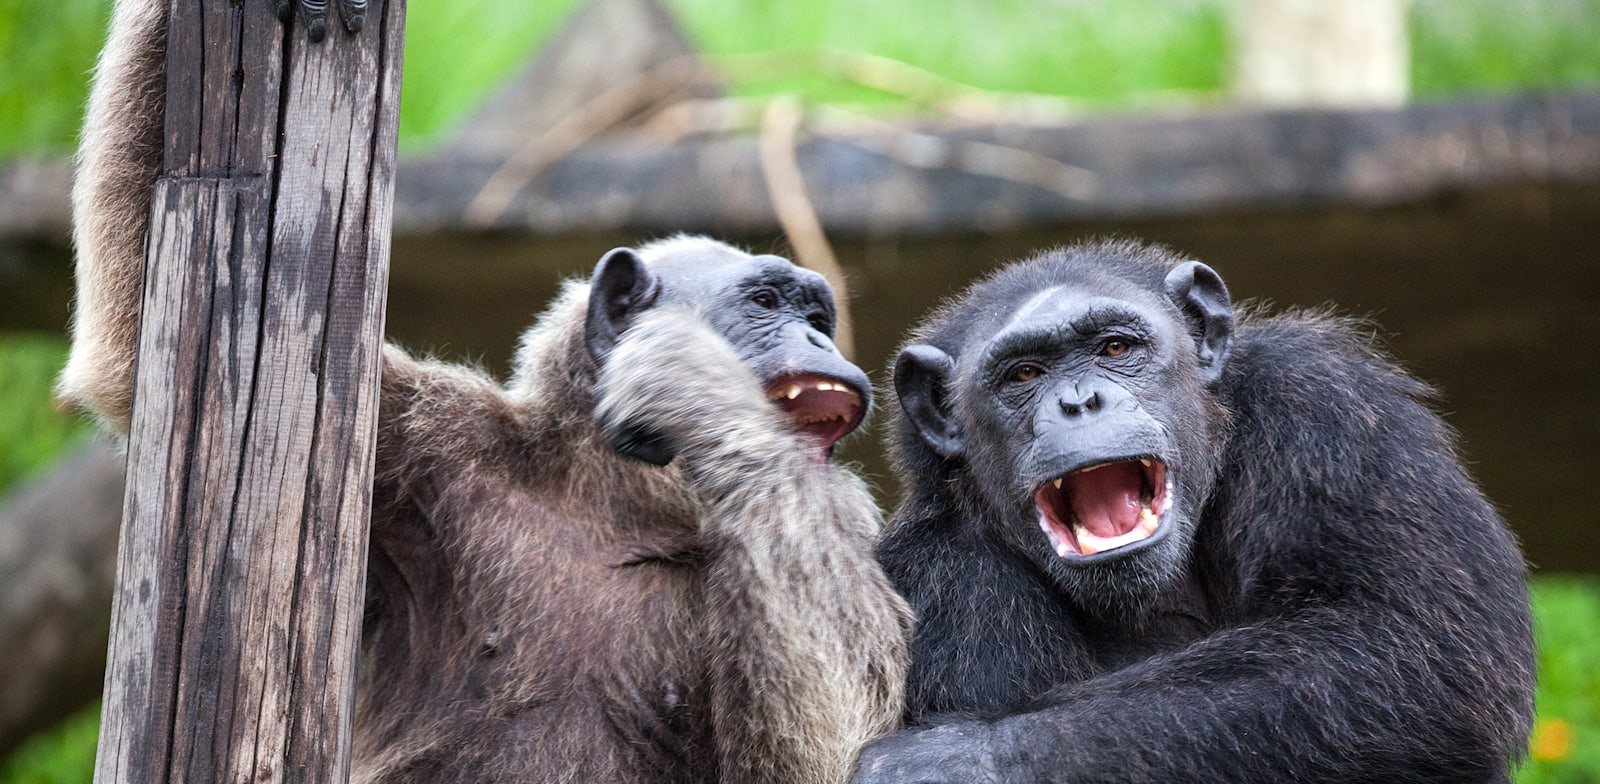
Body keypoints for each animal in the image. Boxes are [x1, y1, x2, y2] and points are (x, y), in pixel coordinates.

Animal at [851, 240, 1536, 784]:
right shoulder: (949, 581)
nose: (1081, 401)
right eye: (1023, 374)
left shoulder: (1333, 411)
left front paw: (958, 759)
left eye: (1115, 346)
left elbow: (1411, 641)